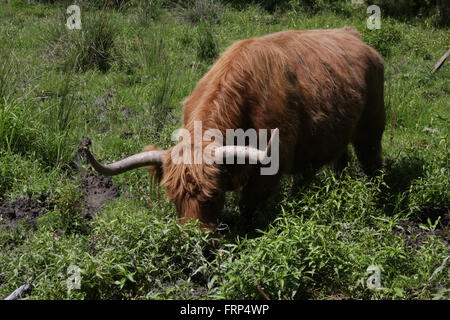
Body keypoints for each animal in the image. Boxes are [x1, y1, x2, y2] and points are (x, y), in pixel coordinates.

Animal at [84, 27, 386, 230]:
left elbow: (248, 206)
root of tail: (353, 35)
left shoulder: (269, 169)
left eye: (213, 196)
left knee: (372, 162)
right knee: (340, 161)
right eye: (174, 197)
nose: (194, 239)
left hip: (372, 128)